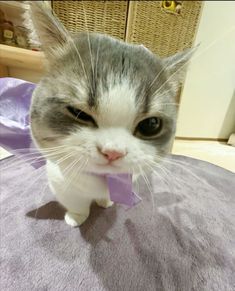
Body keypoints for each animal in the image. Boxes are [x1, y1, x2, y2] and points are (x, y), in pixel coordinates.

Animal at [26, 2, 195, 228]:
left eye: (150, 125)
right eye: (78, 113)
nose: (113, 152)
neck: (101, 180)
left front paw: (105, 201)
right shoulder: (60, 180)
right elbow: (76, 202)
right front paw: (76, 217)